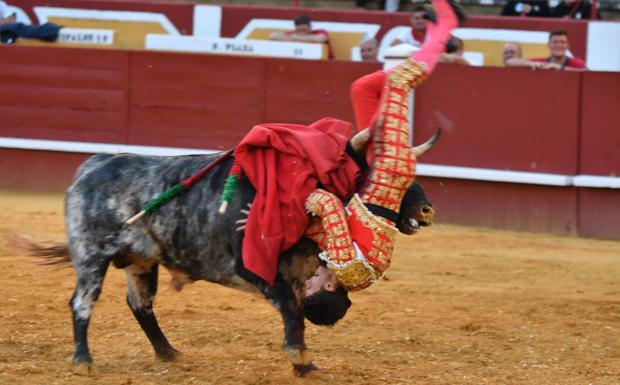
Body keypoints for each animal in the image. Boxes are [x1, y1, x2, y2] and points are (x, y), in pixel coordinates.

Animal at [27, 134, 436, 376]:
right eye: (373, 171)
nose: (427, 210)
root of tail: (92, 164)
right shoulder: (253, 267)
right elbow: (290, 308)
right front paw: (300, 359)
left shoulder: (296, 272)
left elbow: (297, 313)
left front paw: (305, 365)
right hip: (91, 257)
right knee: (82, 302)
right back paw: (83, 362)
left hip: (142, 262)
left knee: (140, 304)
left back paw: (169, 353)